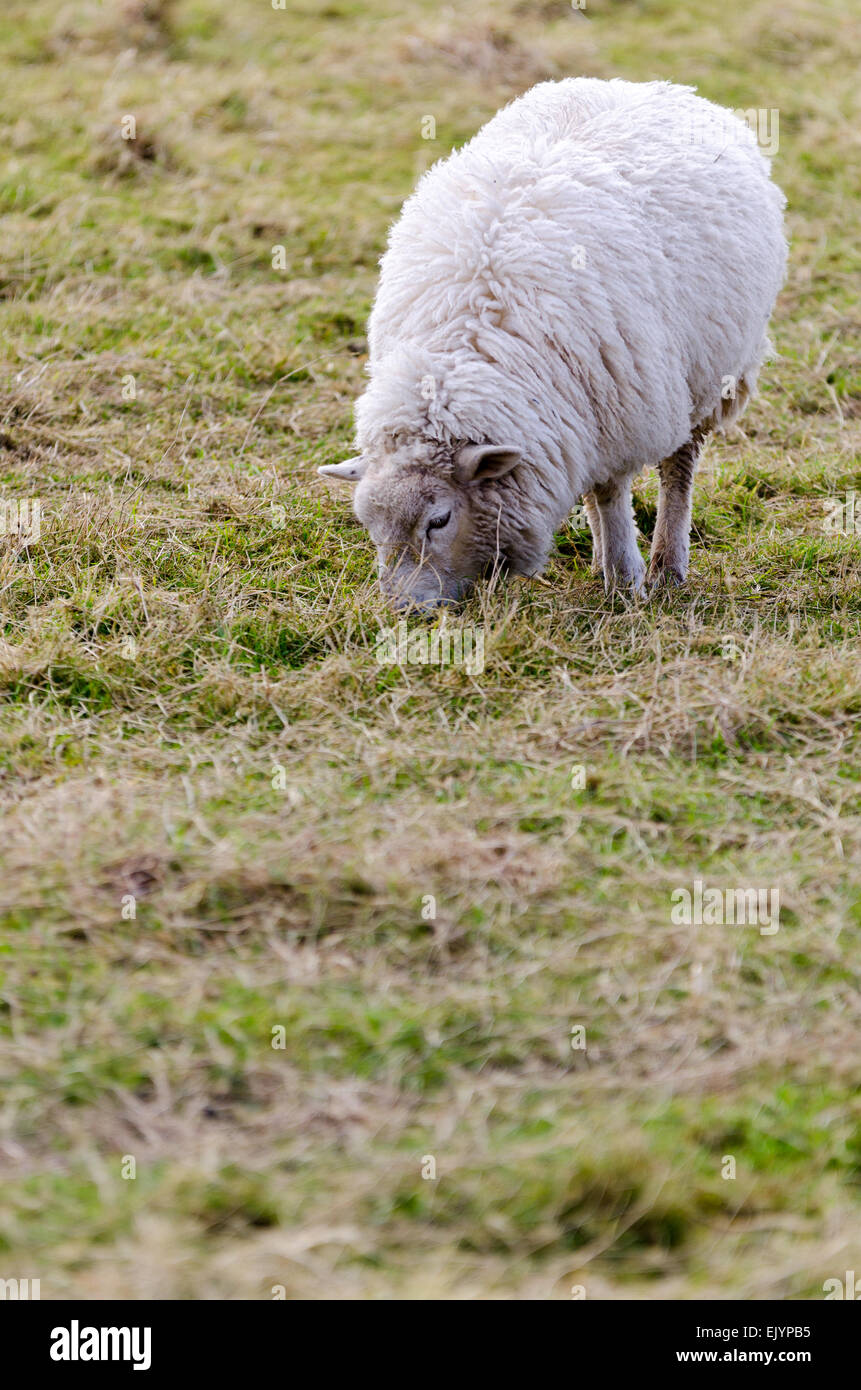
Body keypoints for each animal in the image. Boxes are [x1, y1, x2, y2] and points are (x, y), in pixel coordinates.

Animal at [318, 77, 790, 608]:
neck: (468, 339)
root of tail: (652, 85)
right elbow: (597, 492)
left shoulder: (620, 409)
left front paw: (625, 581)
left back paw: (668, 565)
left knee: (678, 469)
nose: (404, 610)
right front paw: (612, 567)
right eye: (368, 524)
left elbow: (611, 493)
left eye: (438, 520)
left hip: (708, 376)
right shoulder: (575, 412)